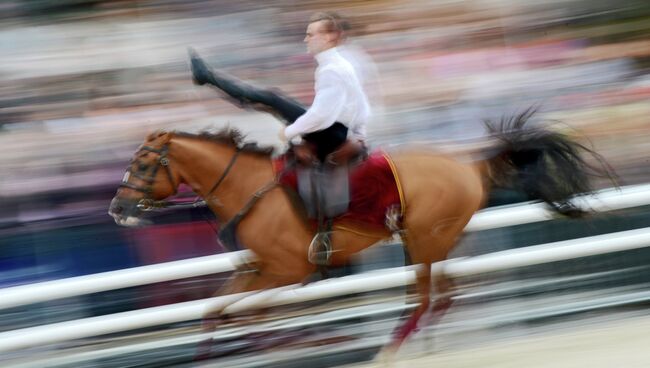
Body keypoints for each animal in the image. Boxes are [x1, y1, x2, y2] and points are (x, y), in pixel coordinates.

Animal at [107, 108, 612, 356]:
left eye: (144, 164)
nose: (117, 209)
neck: (251, 189)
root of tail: (472, 162)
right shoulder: (255, 269)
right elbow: (216, 311)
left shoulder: (287, 271)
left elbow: (251, 316)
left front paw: (299, 343)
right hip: (432, 239)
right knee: (444, 294)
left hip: (424, 240)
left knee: (426, 297)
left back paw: (391, 347)